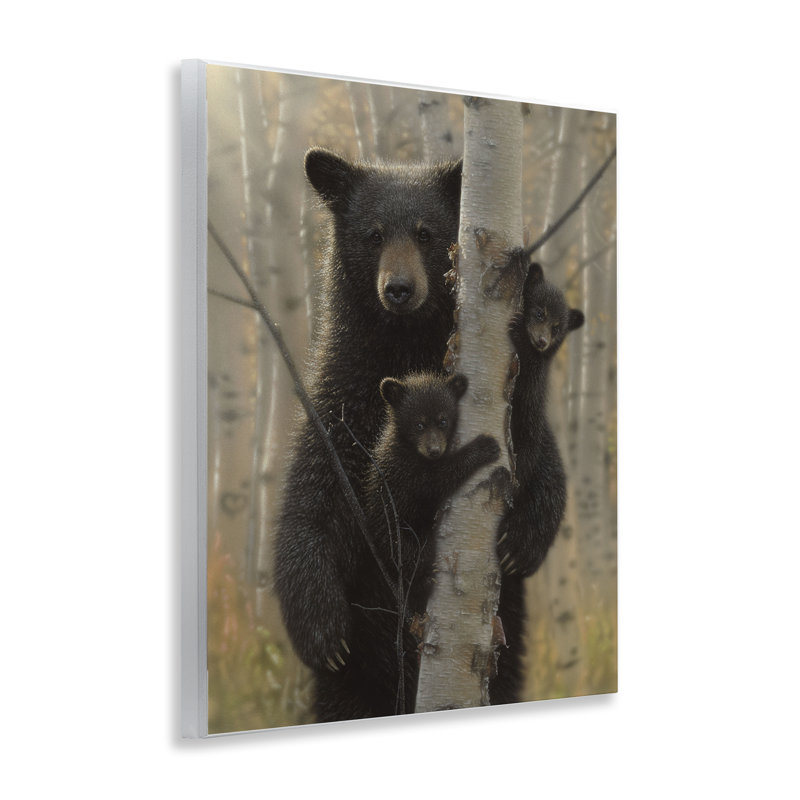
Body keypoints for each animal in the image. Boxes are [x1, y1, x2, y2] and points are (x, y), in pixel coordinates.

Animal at [273, 148, 463, 720]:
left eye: (426, 232)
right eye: (373, 234)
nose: (398, 289)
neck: (400, 351)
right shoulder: (337, 411)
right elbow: (308, 507)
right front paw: (325, 635)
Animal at [312, 372, 501, 721]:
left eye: (443, 419)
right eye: (418, 423)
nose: (435, 449)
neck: (409, 449)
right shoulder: (405, 474)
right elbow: (437, 480)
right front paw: (484, 447)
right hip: (397, 538)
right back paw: (425, 579)